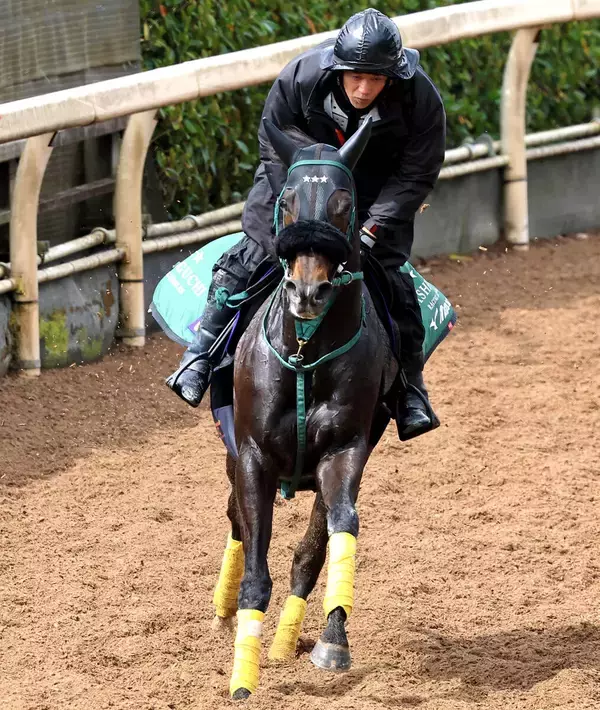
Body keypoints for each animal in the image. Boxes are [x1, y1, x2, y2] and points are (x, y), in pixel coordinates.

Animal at [210, 117, 398, 699]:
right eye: (288, 201)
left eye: (344, 203)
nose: (307, 291)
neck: (306, 354)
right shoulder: (251, 455)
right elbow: (255, 566)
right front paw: (242, 682)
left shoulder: (346, 450)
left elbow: (336, 531)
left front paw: (332, 638)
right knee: (235, 519)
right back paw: (224, 610)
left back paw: (284, 640)